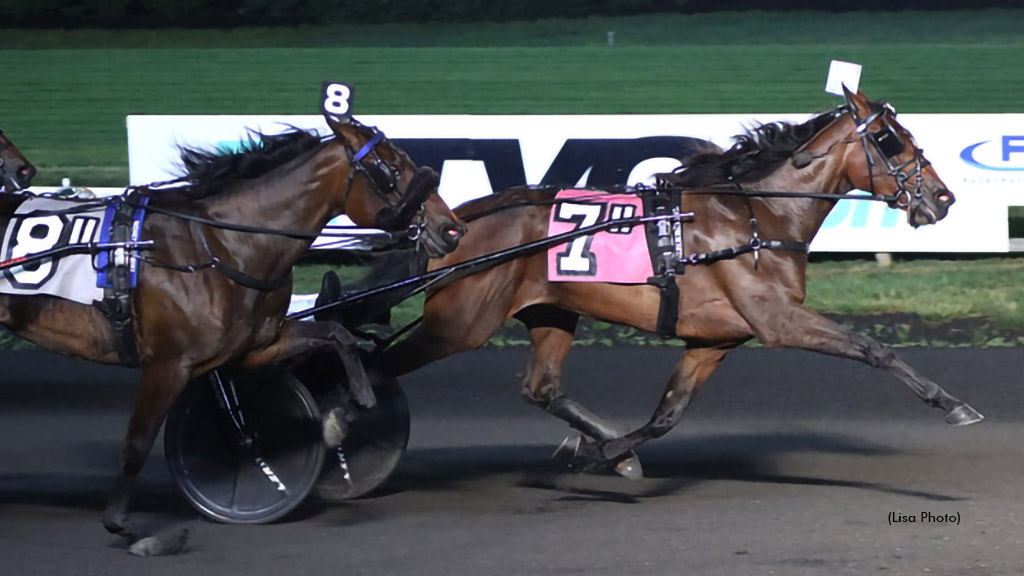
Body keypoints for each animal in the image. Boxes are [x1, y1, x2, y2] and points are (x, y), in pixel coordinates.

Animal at [0, 115, 464, 541]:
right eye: (390, 169)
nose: (451, 229)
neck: (220, 248)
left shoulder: (256, 346)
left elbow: (338, 337)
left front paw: (348, 408)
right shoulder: (169, 364)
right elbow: (139, 439)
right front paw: (119, 521)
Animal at [374, 87, 983, 475]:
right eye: (890, 140)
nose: (943, 197)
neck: (757, 218)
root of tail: (458, 220)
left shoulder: (714, 338)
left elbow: (667, 414)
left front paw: (608, 453)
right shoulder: (778, 319)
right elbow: (871, 347)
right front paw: (953, 403)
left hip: (550, 310)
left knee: (541, 388)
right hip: (460, 322)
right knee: (377, 367)